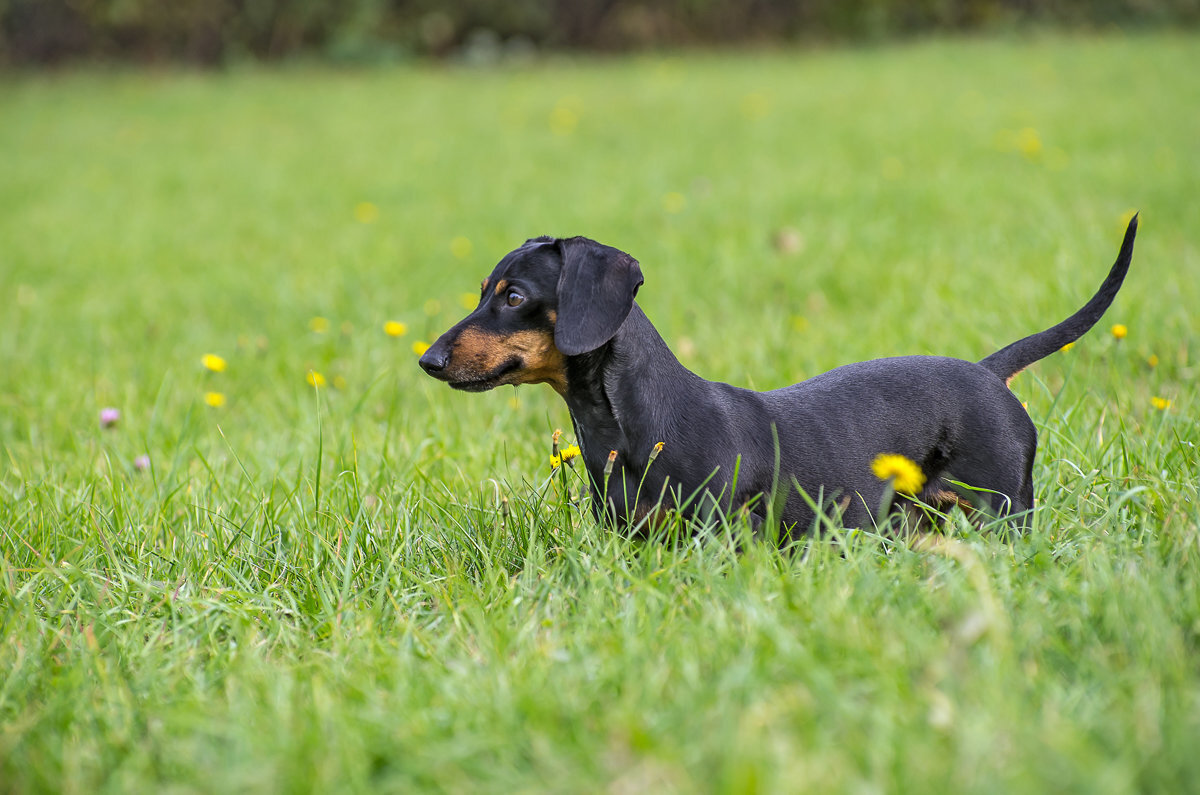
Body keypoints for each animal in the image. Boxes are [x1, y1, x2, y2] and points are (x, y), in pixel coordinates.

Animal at [424, 218, 1142, 538]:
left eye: (515, 296)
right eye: (486, 290)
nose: (427, 360)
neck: (630, 430)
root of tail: (987, 373)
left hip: (1003, 508)